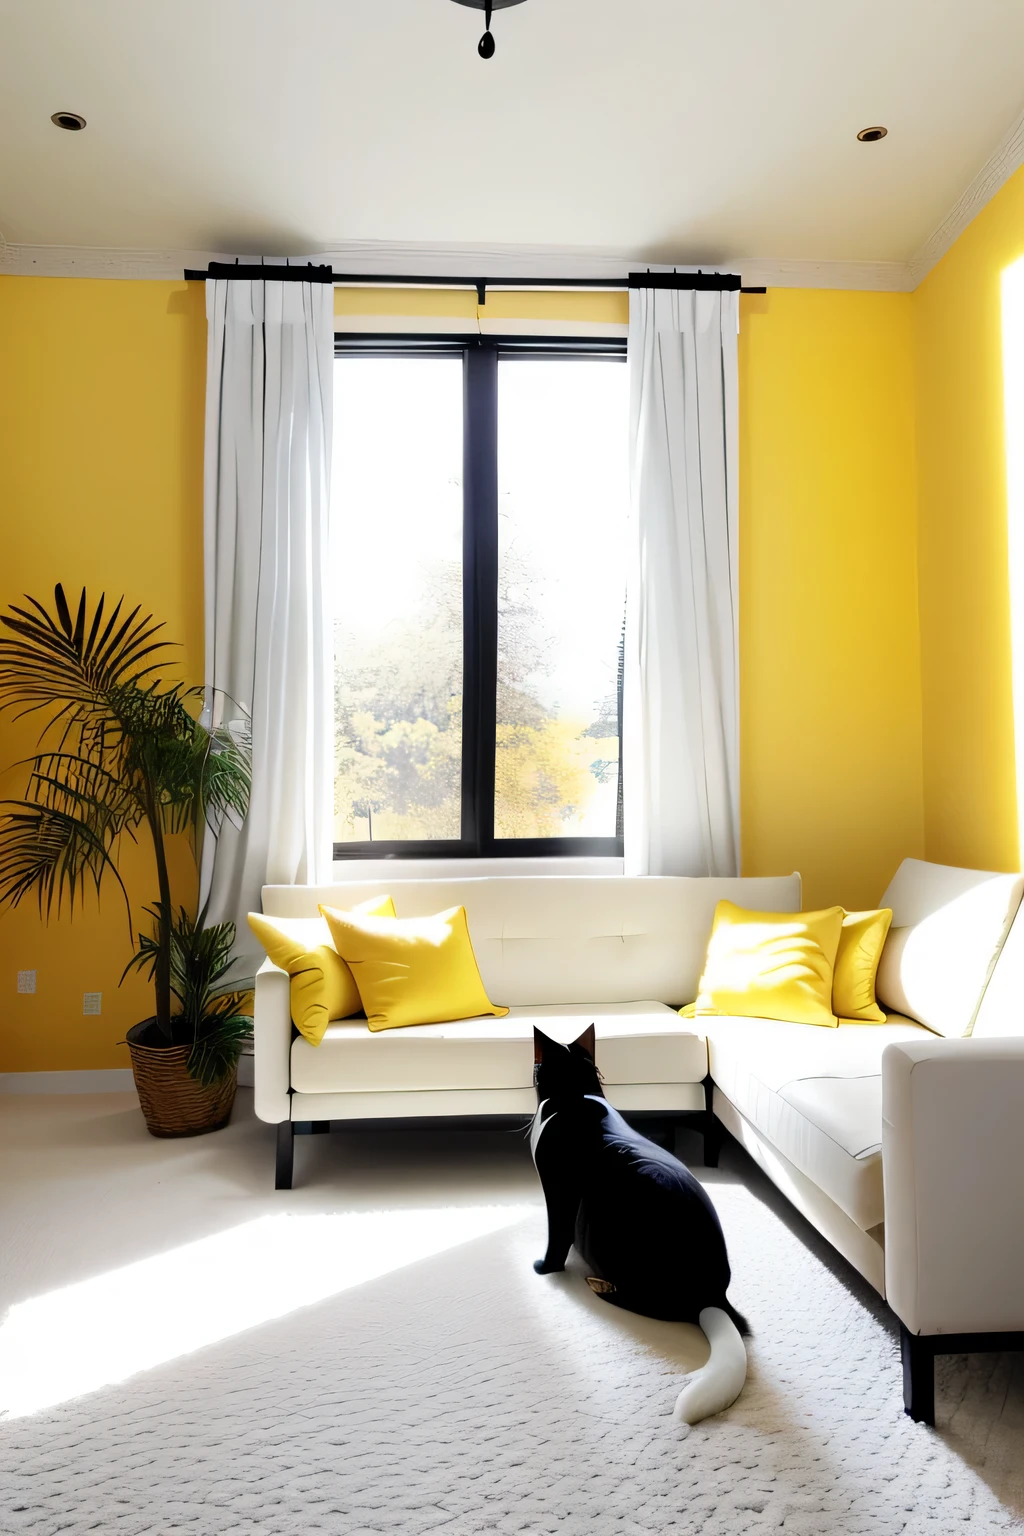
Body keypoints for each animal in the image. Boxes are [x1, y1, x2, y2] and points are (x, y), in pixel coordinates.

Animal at [534, 1026, 749, 1419]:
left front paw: (544, 1268)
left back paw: (600, 1288)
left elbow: (556, 1236)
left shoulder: (556, 1188)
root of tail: (714, 1296)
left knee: (655, 1306)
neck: (576, 1097)